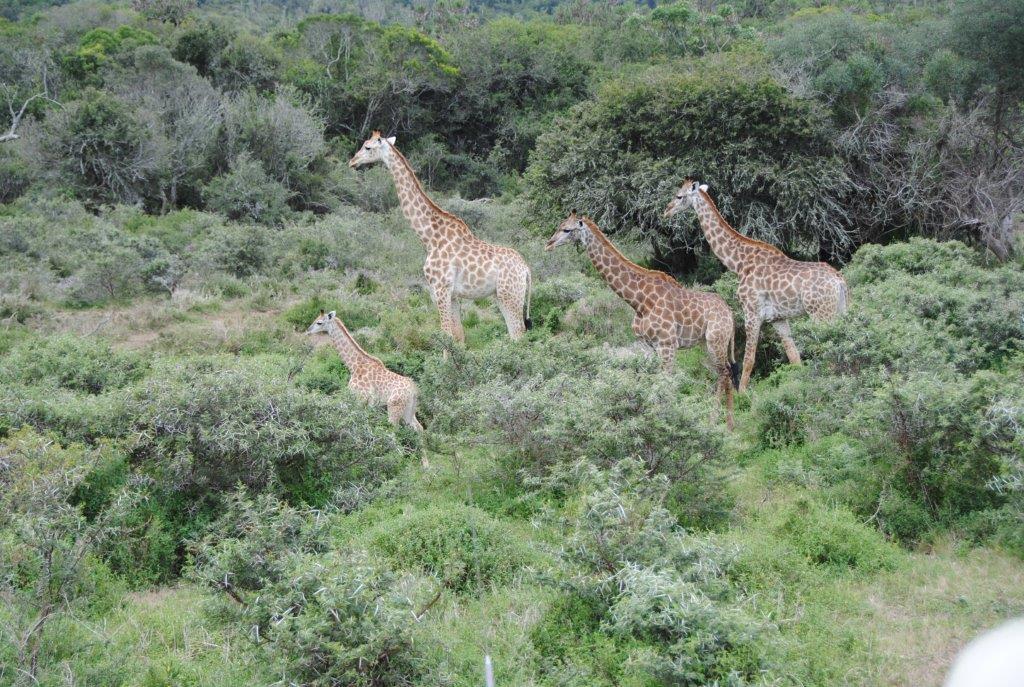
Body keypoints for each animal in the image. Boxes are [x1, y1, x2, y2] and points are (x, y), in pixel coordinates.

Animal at [348, 131, 532, 341]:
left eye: (368, 147)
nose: (352, 161)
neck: (429, 237)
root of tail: (526, 270)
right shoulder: (452, 294)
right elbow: (458, 336)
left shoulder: (440, 288)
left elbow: (446, 334)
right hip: (501, 296)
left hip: (510, 295)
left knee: (518, 333)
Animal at [544, 209, 737, 430]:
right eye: (559, 226)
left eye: (567, 229)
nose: (548, 244)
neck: (639, 301)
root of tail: (730, 313)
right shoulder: (647, 345)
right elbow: (652, 381)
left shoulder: (667, 344)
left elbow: (667, 383)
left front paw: (669, 425)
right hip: (707, 343)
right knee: (723, 372)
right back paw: (728, 424)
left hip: (716, 340)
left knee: (724, 373)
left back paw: (719, 424)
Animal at [663, 177, 847, 393]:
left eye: (679, 196)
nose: (666, 211)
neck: (739, 263)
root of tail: (839, 280)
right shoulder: (778, 318)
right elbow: (794, 357)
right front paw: (797, 386)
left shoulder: (751, 312)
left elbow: (748, 359)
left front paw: (743, 394)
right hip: (840, 310)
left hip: (821, 313)